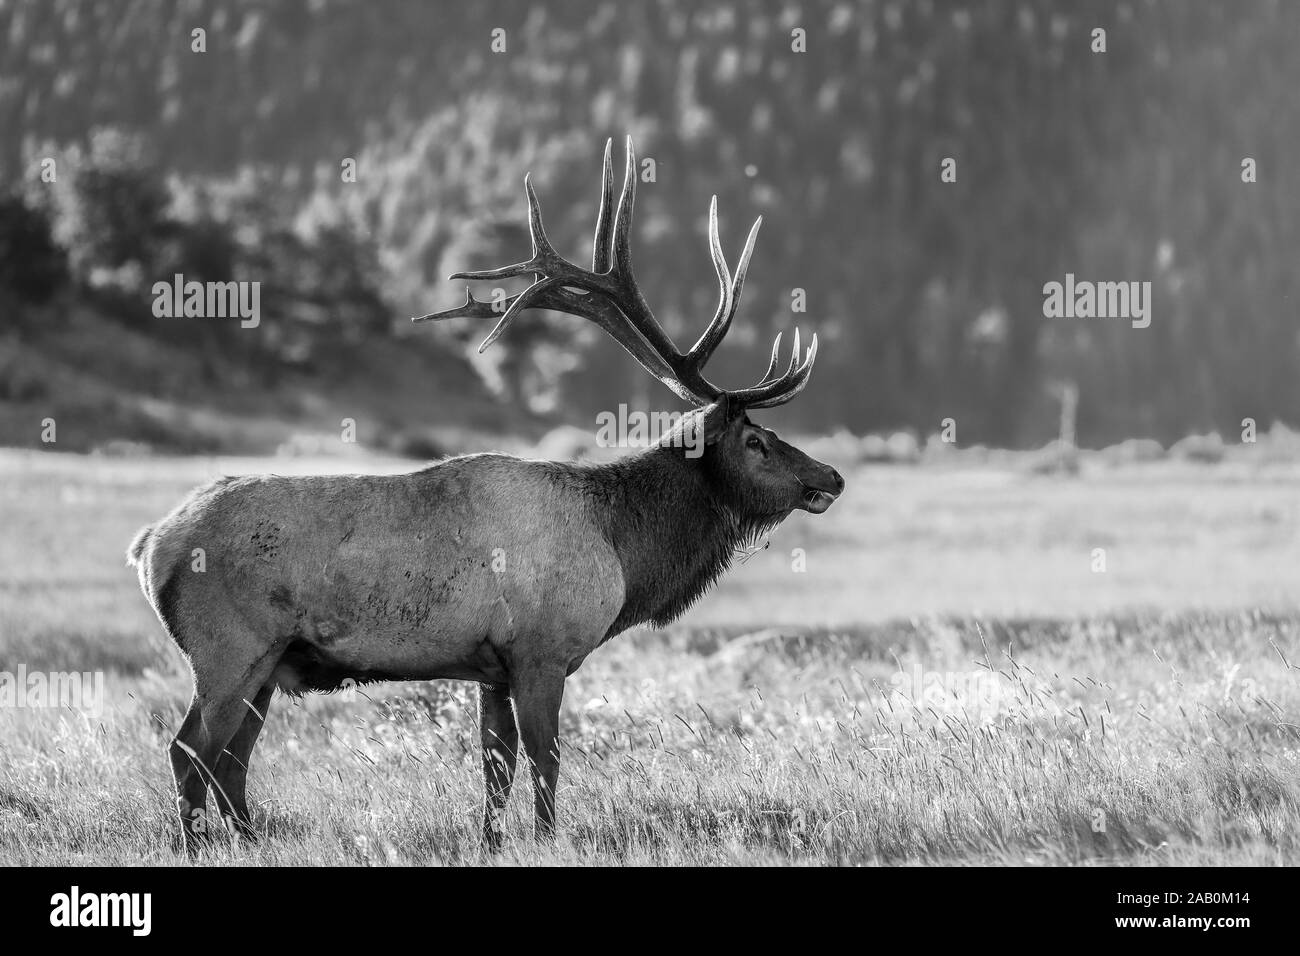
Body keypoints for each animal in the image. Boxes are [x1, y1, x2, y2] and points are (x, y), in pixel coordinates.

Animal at [129, 136, 842, 853]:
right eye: (756, 440)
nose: (831, 477)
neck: (622, 547)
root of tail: (151, 544)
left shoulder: (491, 668)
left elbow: (495, 768)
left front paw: (493, 840)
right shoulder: (541, 651)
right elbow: (546, 759)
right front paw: (549, 838)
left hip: (269, 662)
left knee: (231, 761)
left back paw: (250, 841)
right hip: (230, 648)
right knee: (189, 751)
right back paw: (195, 845)